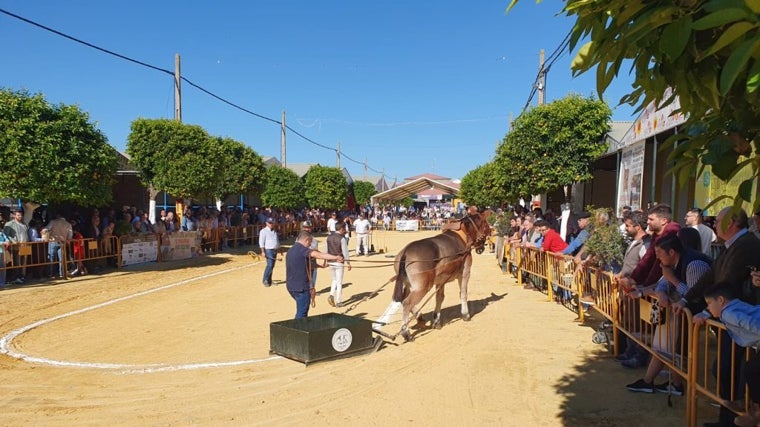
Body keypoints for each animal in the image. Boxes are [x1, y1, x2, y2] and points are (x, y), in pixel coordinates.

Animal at [392, 210, 492, 342]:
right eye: (486, 226)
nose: (481, 248)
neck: (463, 235)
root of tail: (406, 252)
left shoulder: (441, 280)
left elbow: (439, 297)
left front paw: (437, 320)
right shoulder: (465, 273)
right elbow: (463, 293)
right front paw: (465, 314)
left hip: (408, 284)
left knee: (403, 299)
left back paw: (419, 317)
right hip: (422, 287)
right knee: (407, 303)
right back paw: (406, 332)